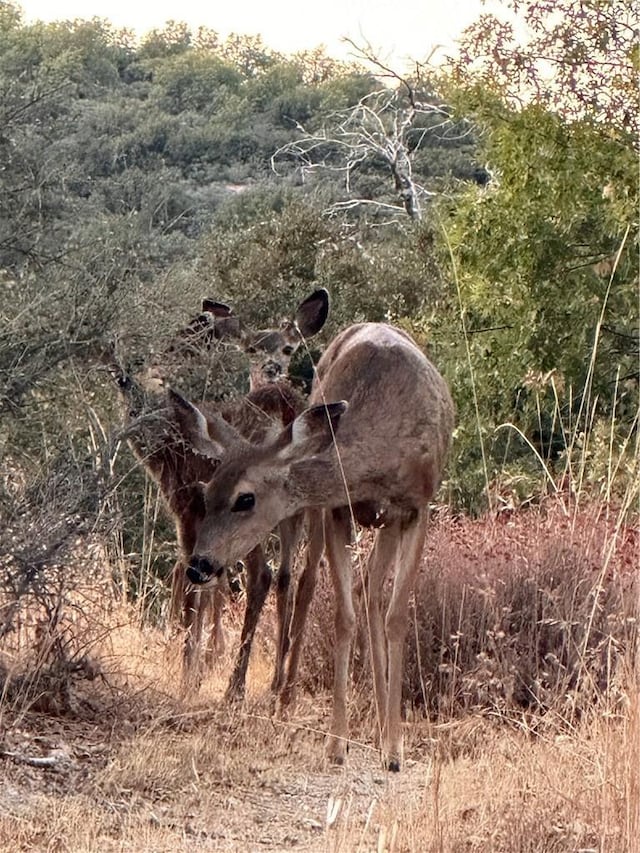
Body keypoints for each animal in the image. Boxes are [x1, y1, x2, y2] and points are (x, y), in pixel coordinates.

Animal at [104, 290, 330, 696]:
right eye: (123, 381)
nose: (139, 421)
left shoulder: (188, 508)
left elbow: (194, 579)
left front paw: (190, 670)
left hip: (252, 508)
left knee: (261, 576)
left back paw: (235, 687)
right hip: (296, 510)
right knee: (290, 577)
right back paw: (276, 684)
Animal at [170, 322, 456, 772]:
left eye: (245, 498)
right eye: (207, 491)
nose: (199, 564)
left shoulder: (416, 507)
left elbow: (396, 617)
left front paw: (395, 749)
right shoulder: (338, 508)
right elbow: (343, 616)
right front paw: (338, 743)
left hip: (385, 523)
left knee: (373, 592)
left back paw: (381, 728)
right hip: (333, 518)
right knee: (332, 586)